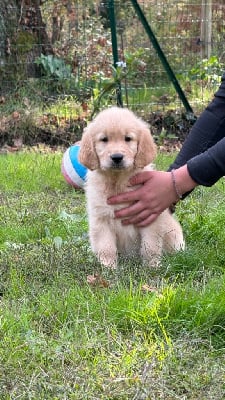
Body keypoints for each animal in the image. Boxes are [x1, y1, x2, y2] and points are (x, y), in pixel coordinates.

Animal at [79, 106, 185, 268]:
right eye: (104, 139)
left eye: (128, 138)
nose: (117, 157)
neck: (118, 182)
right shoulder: (100, 220)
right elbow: (106, 247)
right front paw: (108, 268)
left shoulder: (149, 217)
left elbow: (150, 245)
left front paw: (152, 266)